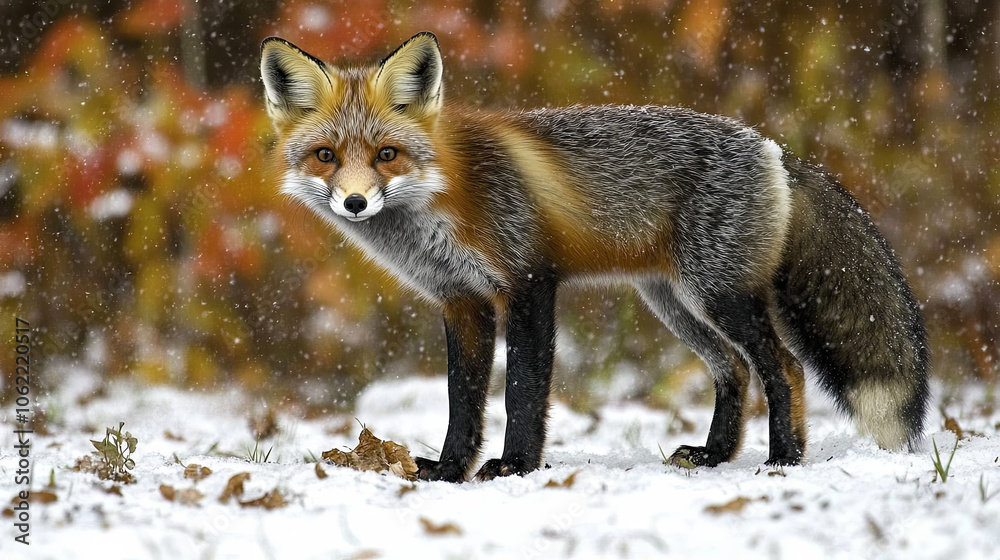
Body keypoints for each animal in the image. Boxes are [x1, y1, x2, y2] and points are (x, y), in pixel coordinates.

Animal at [260, 32, 929, 482]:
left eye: (386, 155)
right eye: (325, 156)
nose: (354, 202)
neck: (442, 198)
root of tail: (777, 150)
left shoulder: (529, 281)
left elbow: (523, 391)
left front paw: (515, 466)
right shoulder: (461, 301)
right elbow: (462, 401)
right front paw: (449, 471)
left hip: (720, 295)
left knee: (783, 368)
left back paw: (783, 459)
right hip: (676, 304)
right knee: (734, 370)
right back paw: (714, 455)